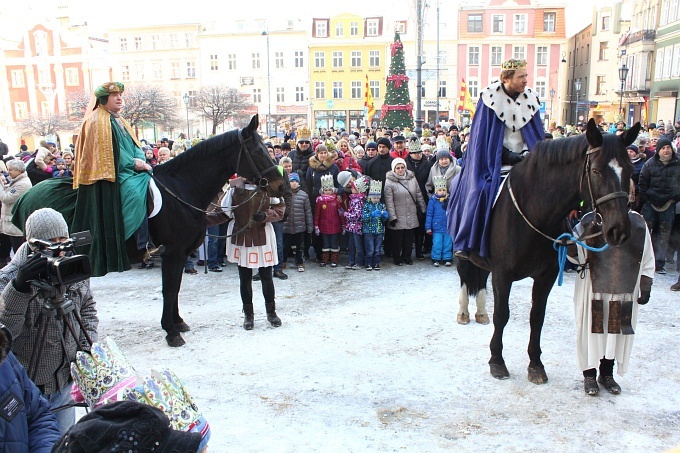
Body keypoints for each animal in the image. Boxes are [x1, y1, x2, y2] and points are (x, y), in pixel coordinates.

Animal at [460, 118, 640, 384]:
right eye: (596, 171)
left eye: (628, 170)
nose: (619, 230)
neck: (536, 212)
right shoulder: (503, 274)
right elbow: (502, 314)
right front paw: (497, 361)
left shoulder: (546, 276)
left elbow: (537, 317)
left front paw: (535, 364)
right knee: (465, 278)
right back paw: (464, 312)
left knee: (481, 278)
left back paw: (480, 312)